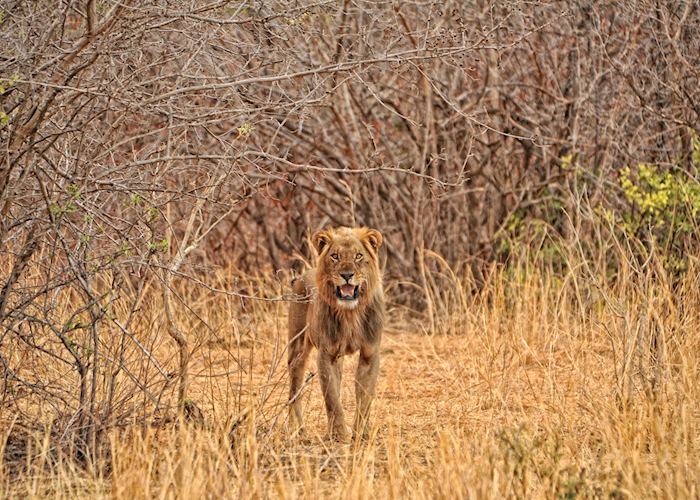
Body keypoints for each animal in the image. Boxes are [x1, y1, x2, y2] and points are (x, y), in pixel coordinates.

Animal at [287, 226, 385, 441]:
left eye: (358, 256)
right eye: (335, 256)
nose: (347, 274)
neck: (350, 313)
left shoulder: (370, 353)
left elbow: (365, 397)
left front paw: (361, 433)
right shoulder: (326, 354)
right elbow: (331, 397)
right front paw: (339, 433)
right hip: (297, 346)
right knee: (294, 385)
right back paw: (296, 427)